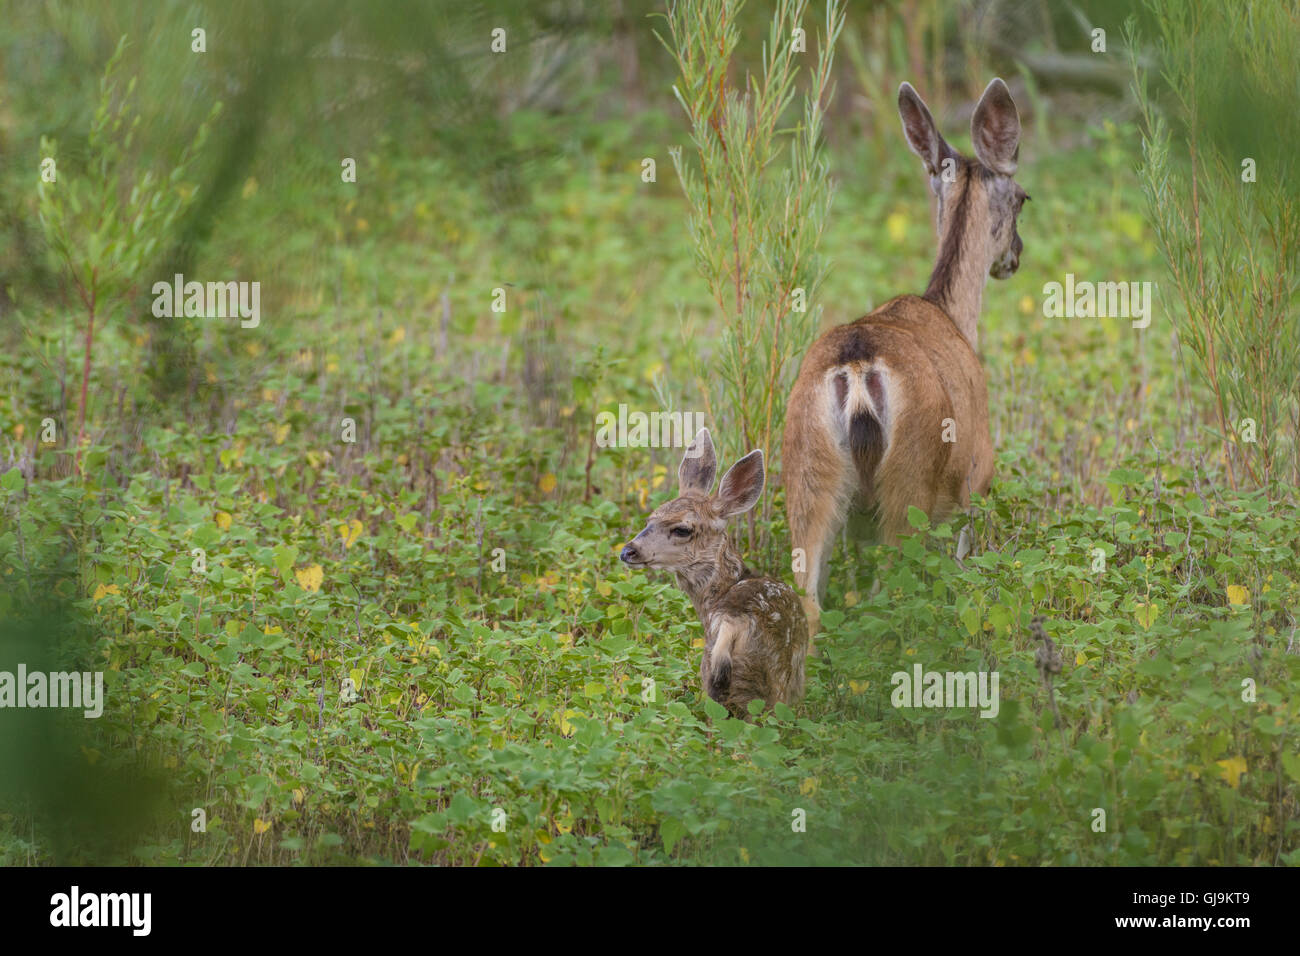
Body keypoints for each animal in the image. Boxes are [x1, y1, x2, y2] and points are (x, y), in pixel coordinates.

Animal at [780, 78, 1024, 647]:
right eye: (1024, 198)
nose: (1016, 256)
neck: (953, 315)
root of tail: (855, 368)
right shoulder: (976, 482)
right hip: (911, 476)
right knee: (891, 596)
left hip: (808, 467)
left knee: (811, 601)